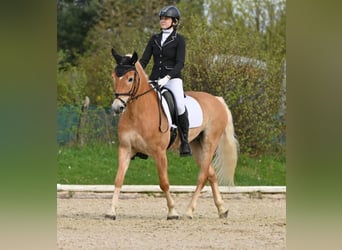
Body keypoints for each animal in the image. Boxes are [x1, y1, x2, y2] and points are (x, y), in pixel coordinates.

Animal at [106, 47, 238, 220]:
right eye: (114, 77)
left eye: (130, 79)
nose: (117, 107)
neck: (138, 112)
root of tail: (217, 100)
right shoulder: (125, 149)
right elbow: (118, 180)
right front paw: (111, 211)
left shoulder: (159, 152)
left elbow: (164, 182)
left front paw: (172, 212)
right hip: (196, 145)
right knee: (211, 173)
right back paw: (222, 209)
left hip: (210, 142)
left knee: (202, 176)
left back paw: (189, 211)